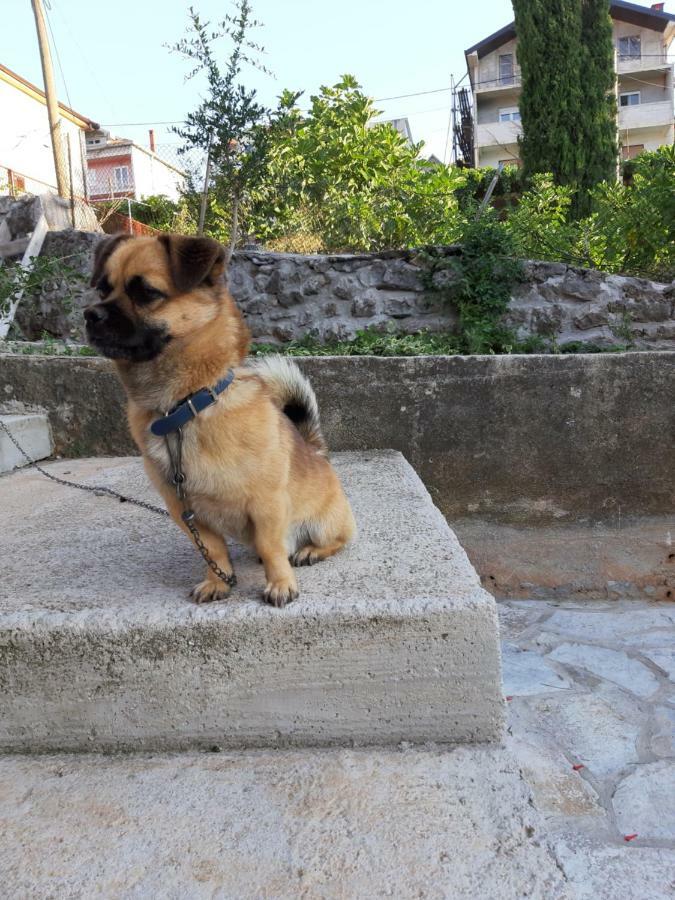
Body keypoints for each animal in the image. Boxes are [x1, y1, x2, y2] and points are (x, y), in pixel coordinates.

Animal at [87, 236, 356, 608]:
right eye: (102, 289)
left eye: (146, 293)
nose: (90, 314)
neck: (182, 407)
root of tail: (316, 451)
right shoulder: (185, 511)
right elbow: (213, 550)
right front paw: (218, 581)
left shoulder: (267, 505)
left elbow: (272, 548)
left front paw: (280, 583)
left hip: (324, 523)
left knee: (334, 540)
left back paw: (311, 551)